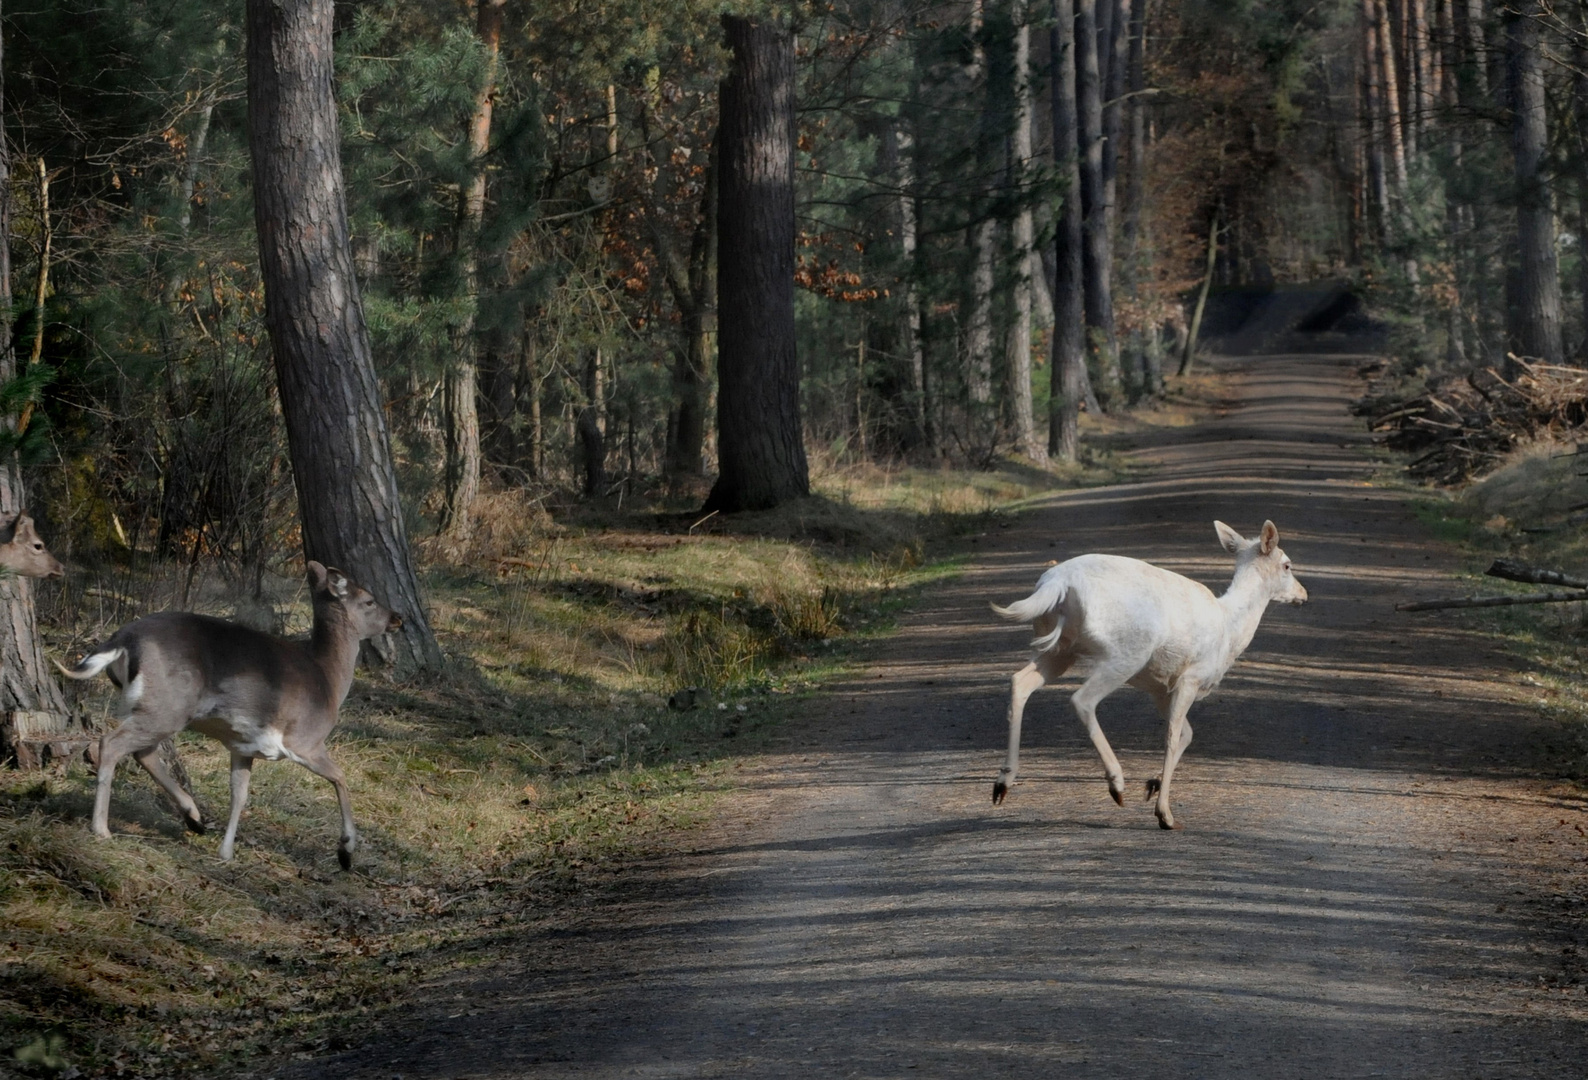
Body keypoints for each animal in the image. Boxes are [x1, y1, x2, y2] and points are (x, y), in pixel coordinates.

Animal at [57, 555, 403, 870]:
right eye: (369, 600)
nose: (397, 617)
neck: (328, 681)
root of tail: (121, 639)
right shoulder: (304, 739)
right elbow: (340, 777)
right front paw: (346, 851)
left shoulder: (242, 745)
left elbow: (239, 794)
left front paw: (225, 851)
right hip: (167, 705)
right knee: (113, 743)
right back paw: (101, 829)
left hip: (155, 706)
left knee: (144, 752)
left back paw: (194, 817)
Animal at [990, 517, 1302, 832]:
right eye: (1287, 565)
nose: (1303, 593)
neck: (1230, 631)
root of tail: (1055, 584)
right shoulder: (1191, 677)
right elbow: (1173, 736)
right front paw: (1164, 814)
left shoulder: (1161, 687)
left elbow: (1187, 734)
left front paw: (1152, 784)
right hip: (1126, 652)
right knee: (1082, 699)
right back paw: (1116, 784)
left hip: (1061, 648)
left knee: (1020, 681)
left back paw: (1002, 783)